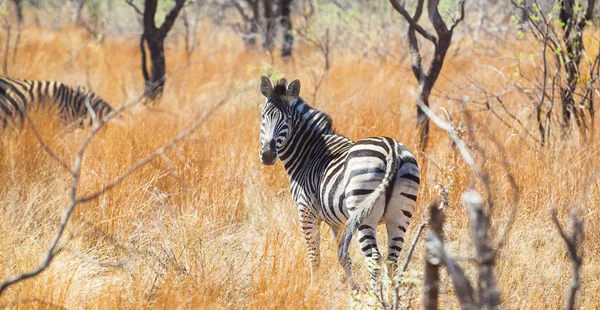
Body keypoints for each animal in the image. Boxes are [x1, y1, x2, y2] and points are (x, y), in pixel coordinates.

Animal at [255, 76, 420, 290]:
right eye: (263, 116)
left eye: (287, 119)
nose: (267, 155)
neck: (309, 154)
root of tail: (391, 148)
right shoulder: (337, 222)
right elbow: (342, 256)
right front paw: (353, 289)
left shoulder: (306, 212)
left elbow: (314, 255)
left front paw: (313, 287)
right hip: (400, 215)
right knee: (392, 258)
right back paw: (391, 295)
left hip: (364, 213)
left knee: (374, 257)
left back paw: (374, 295)